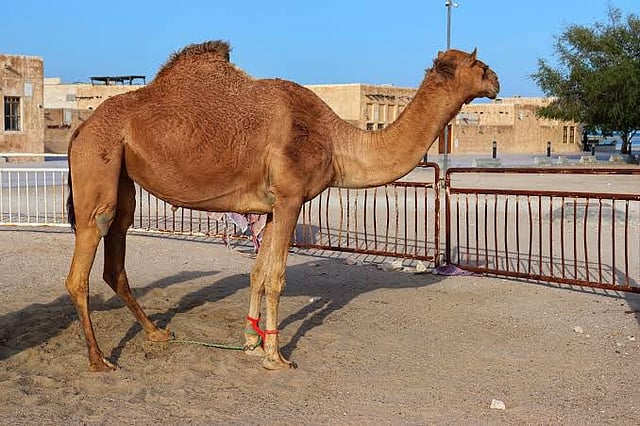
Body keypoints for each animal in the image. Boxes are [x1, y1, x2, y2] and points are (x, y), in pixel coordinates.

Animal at [65, 40, 499, 371]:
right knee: (85, 257)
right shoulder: (292, 198)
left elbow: (257, 273)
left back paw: (157, 332)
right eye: (477, 64)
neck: (336, 141)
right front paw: (275, 356)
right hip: (98, 159)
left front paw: (250, 342)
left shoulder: (274, 205)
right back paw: (99, 359)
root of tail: (80, 127)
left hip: (121, 175)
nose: (496, 81)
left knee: (117, 251)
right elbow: (276, 277)